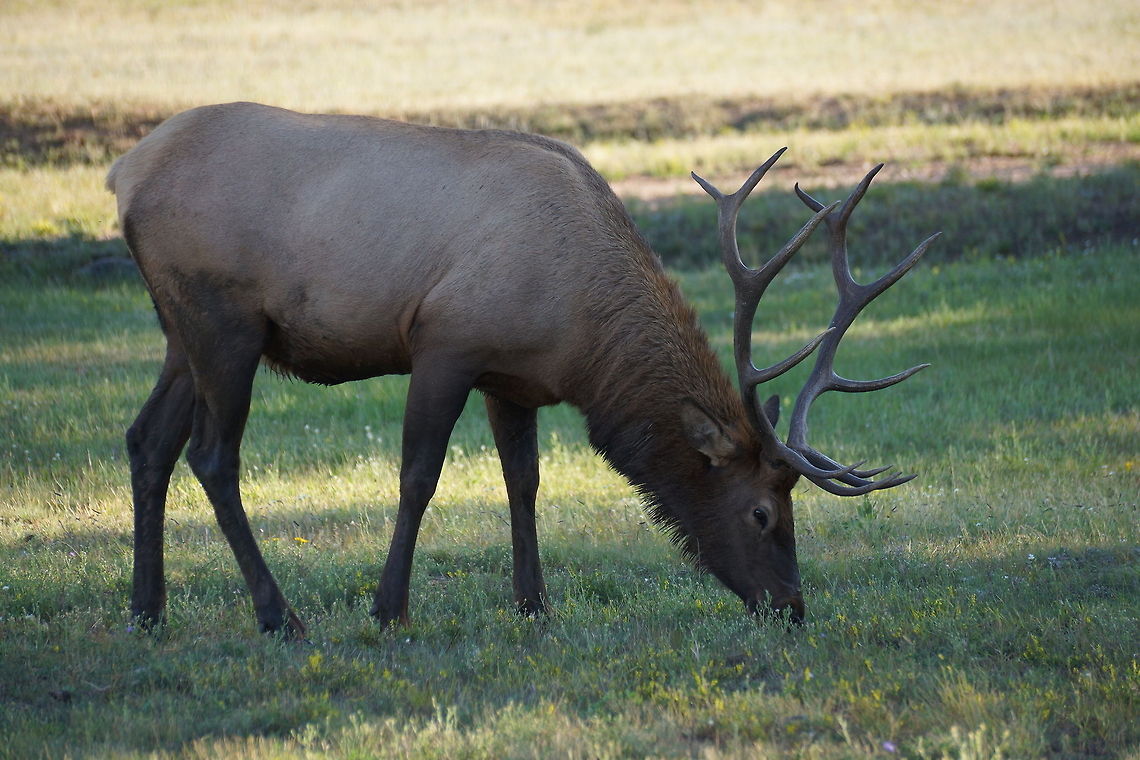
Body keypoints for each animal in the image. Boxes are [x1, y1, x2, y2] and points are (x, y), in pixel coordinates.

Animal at [106, 102, 937, 637]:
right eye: (764, 513)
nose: (794, 607)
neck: (579, 333)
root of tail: (123, 174)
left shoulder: (513, 380)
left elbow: (524, 483)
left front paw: (534, 604)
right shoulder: (446, 341)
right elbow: (419, 475)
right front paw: (389, 608)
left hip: (181, 332)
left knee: (148, 440)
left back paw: (147, 609)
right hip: (224, 318)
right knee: (213, 455)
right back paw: (279, 615)